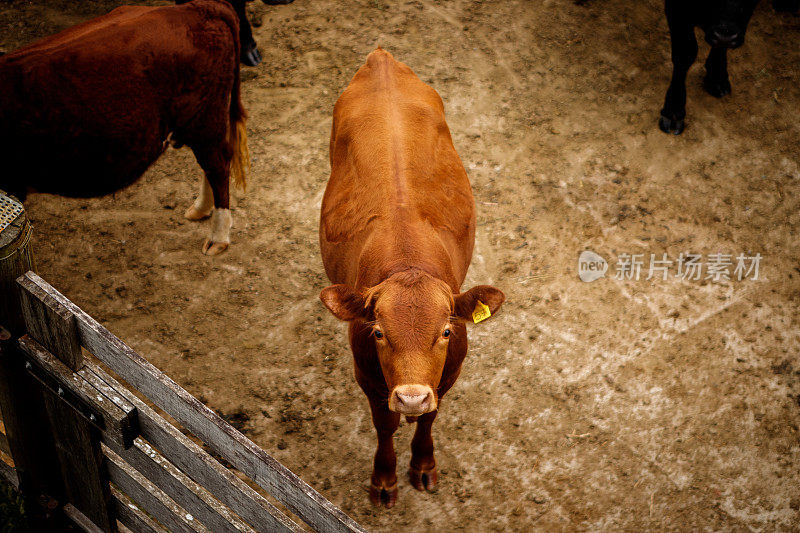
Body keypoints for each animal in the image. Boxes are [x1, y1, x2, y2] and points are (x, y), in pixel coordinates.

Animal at [320, 48, 504, 508]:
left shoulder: (447, 375)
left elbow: (430, 418)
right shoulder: (369, 379)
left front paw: (423, 464)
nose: (411, 396)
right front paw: (384, 479)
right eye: (379, 332)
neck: (408, 262)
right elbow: (385, 425)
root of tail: (382, 59)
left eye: (445, 332)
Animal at [660, 0, 796, 134]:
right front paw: (674, 110)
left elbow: (720, 47)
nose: (724, 36)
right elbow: (685, 53)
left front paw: (716, 78)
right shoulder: (677, 11)